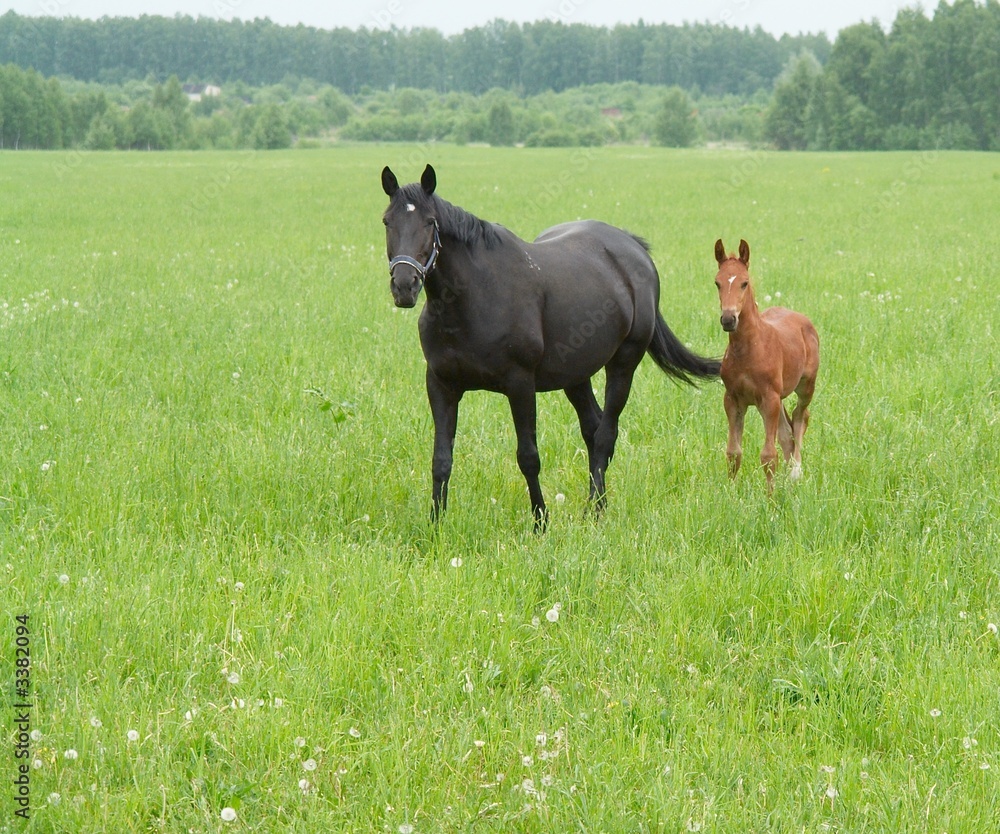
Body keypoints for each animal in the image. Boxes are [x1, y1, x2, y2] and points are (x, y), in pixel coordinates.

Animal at [382, 164, 720, 528]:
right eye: (387, 221)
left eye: (430, 222)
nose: (405, 286)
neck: (475, 296)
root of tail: (635, 249)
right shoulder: (441, 385)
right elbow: (441, 458)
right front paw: (435, 523)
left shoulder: (520, 384)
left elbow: (528, 456)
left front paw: (541, 521)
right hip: (576, 376)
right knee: (593, 429)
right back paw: (598, 503)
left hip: (624, 364)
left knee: (606, 434)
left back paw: (594, 511)